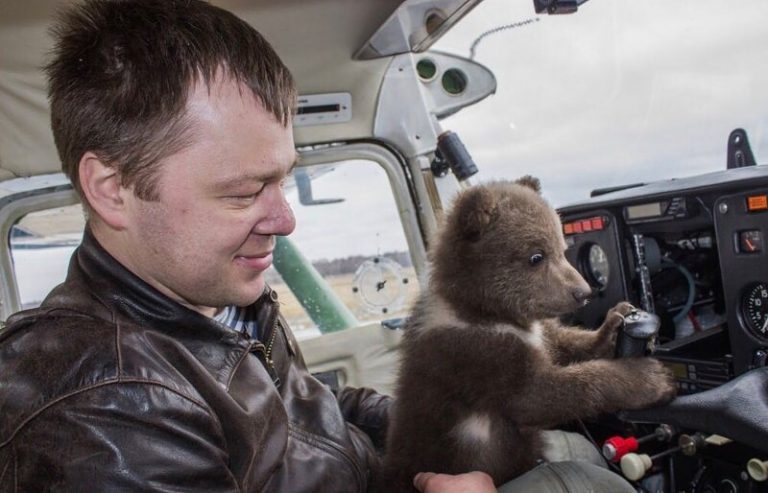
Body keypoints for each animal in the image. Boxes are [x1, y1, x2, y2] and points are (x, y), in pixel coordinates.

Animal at [378, 177, 677, 491]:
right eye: (536, 256)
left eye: (562, 249)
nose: (583, 292)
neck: (483, 311)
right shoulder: (470, 352)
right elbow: (536, 394)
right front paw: (650, 378)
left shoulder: (535, 332)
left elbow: (563, 344)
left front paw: (615, 324)